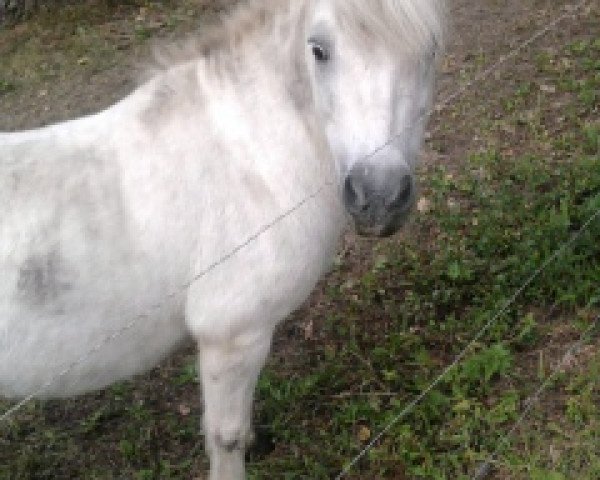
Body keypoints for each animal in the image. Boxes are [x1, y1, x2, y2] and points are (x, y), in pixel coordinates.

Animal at [1, 0, 446, 476]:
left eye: (431, 48)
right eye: (318, 50)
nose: (378, 196)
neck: (248, 157)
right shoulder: (232, 336)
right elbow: (226, 436)